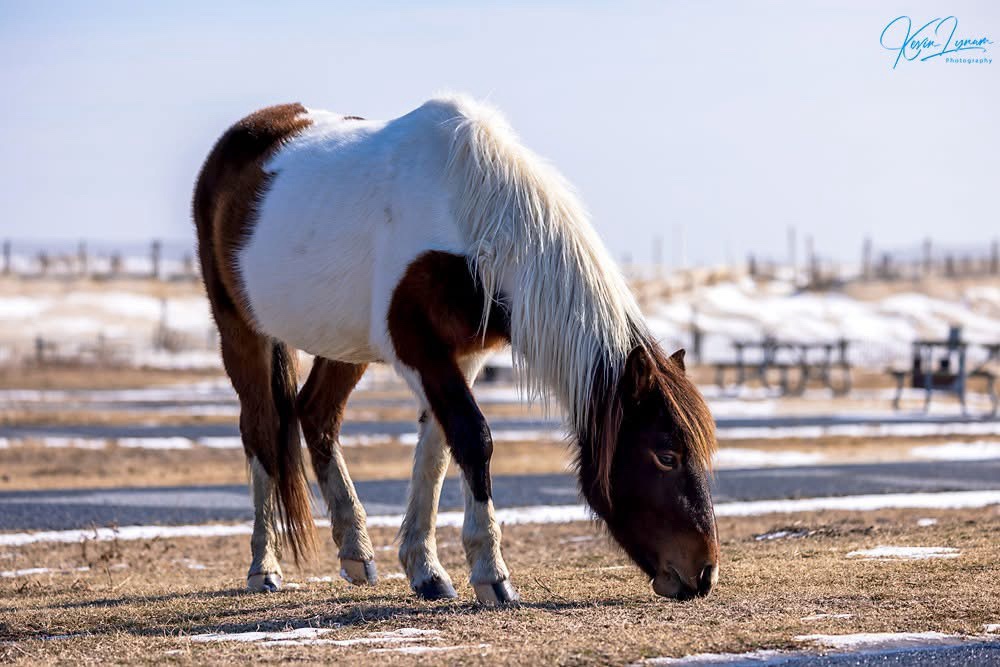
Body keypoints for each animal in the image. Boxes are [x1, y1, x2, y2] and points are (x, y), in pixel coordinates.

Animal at [193, 95, 720, 604]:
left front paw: (426, 571)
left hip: (344, 344)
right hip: (239, 329)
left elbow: (437, 453)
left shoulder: (463, 356)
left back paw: (355, 552)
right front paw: (491, 574)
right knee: (262, 430)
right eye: (666, 455)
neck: (469, 217)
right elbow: (473, 438)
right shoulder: (417, 351)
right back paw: (264, 566)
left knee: (316, 414)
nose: (705, 573)